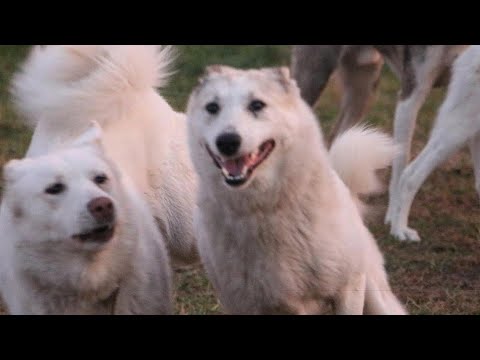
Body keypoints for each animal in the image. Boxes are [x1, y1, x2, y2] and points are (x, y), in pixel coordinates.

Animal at [186, 65, 406, 316]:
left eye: (257, 105)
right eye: (212, 107)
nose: (227, 141)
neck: (266, 208)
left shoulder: (349, 287)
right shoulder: (243, 304)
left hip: (375, 296)